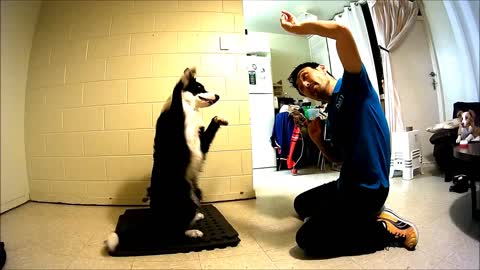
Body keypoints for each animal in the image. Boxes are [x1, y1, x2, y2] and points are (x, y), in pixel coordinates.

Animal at [106, 67, 229, 253]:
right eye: (200, 87)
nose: (218, 96)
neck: (189, 107)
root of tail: (157, 222)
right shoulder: (181, 126)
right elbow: (177, 92)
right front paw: (187, 75)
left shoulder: (201, 144)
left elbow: (209, 128)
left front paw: (219, 119)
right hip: (185, 199)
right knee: (173, 231)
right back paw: (192, 232)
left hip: (196, 192)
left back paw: (196, 218)